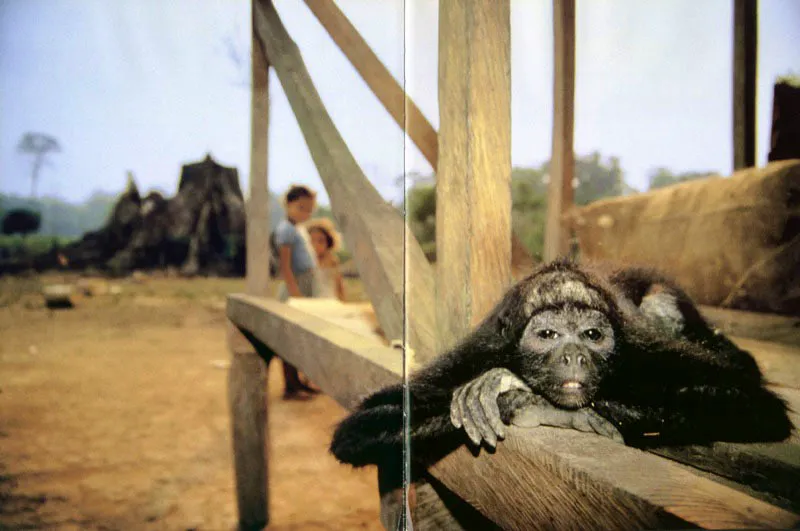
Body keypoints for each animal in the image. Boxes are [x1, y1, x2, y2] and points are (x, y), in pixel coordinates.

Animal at [328, 258, 792, 470]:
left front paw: (519, 395)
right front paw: (511, 394)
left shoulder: (642, 350)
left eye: (592, 336)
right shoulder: (479, 349)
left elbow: (749, 404)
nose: (574, 356)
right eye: (549, 335)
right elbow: (365, 426)